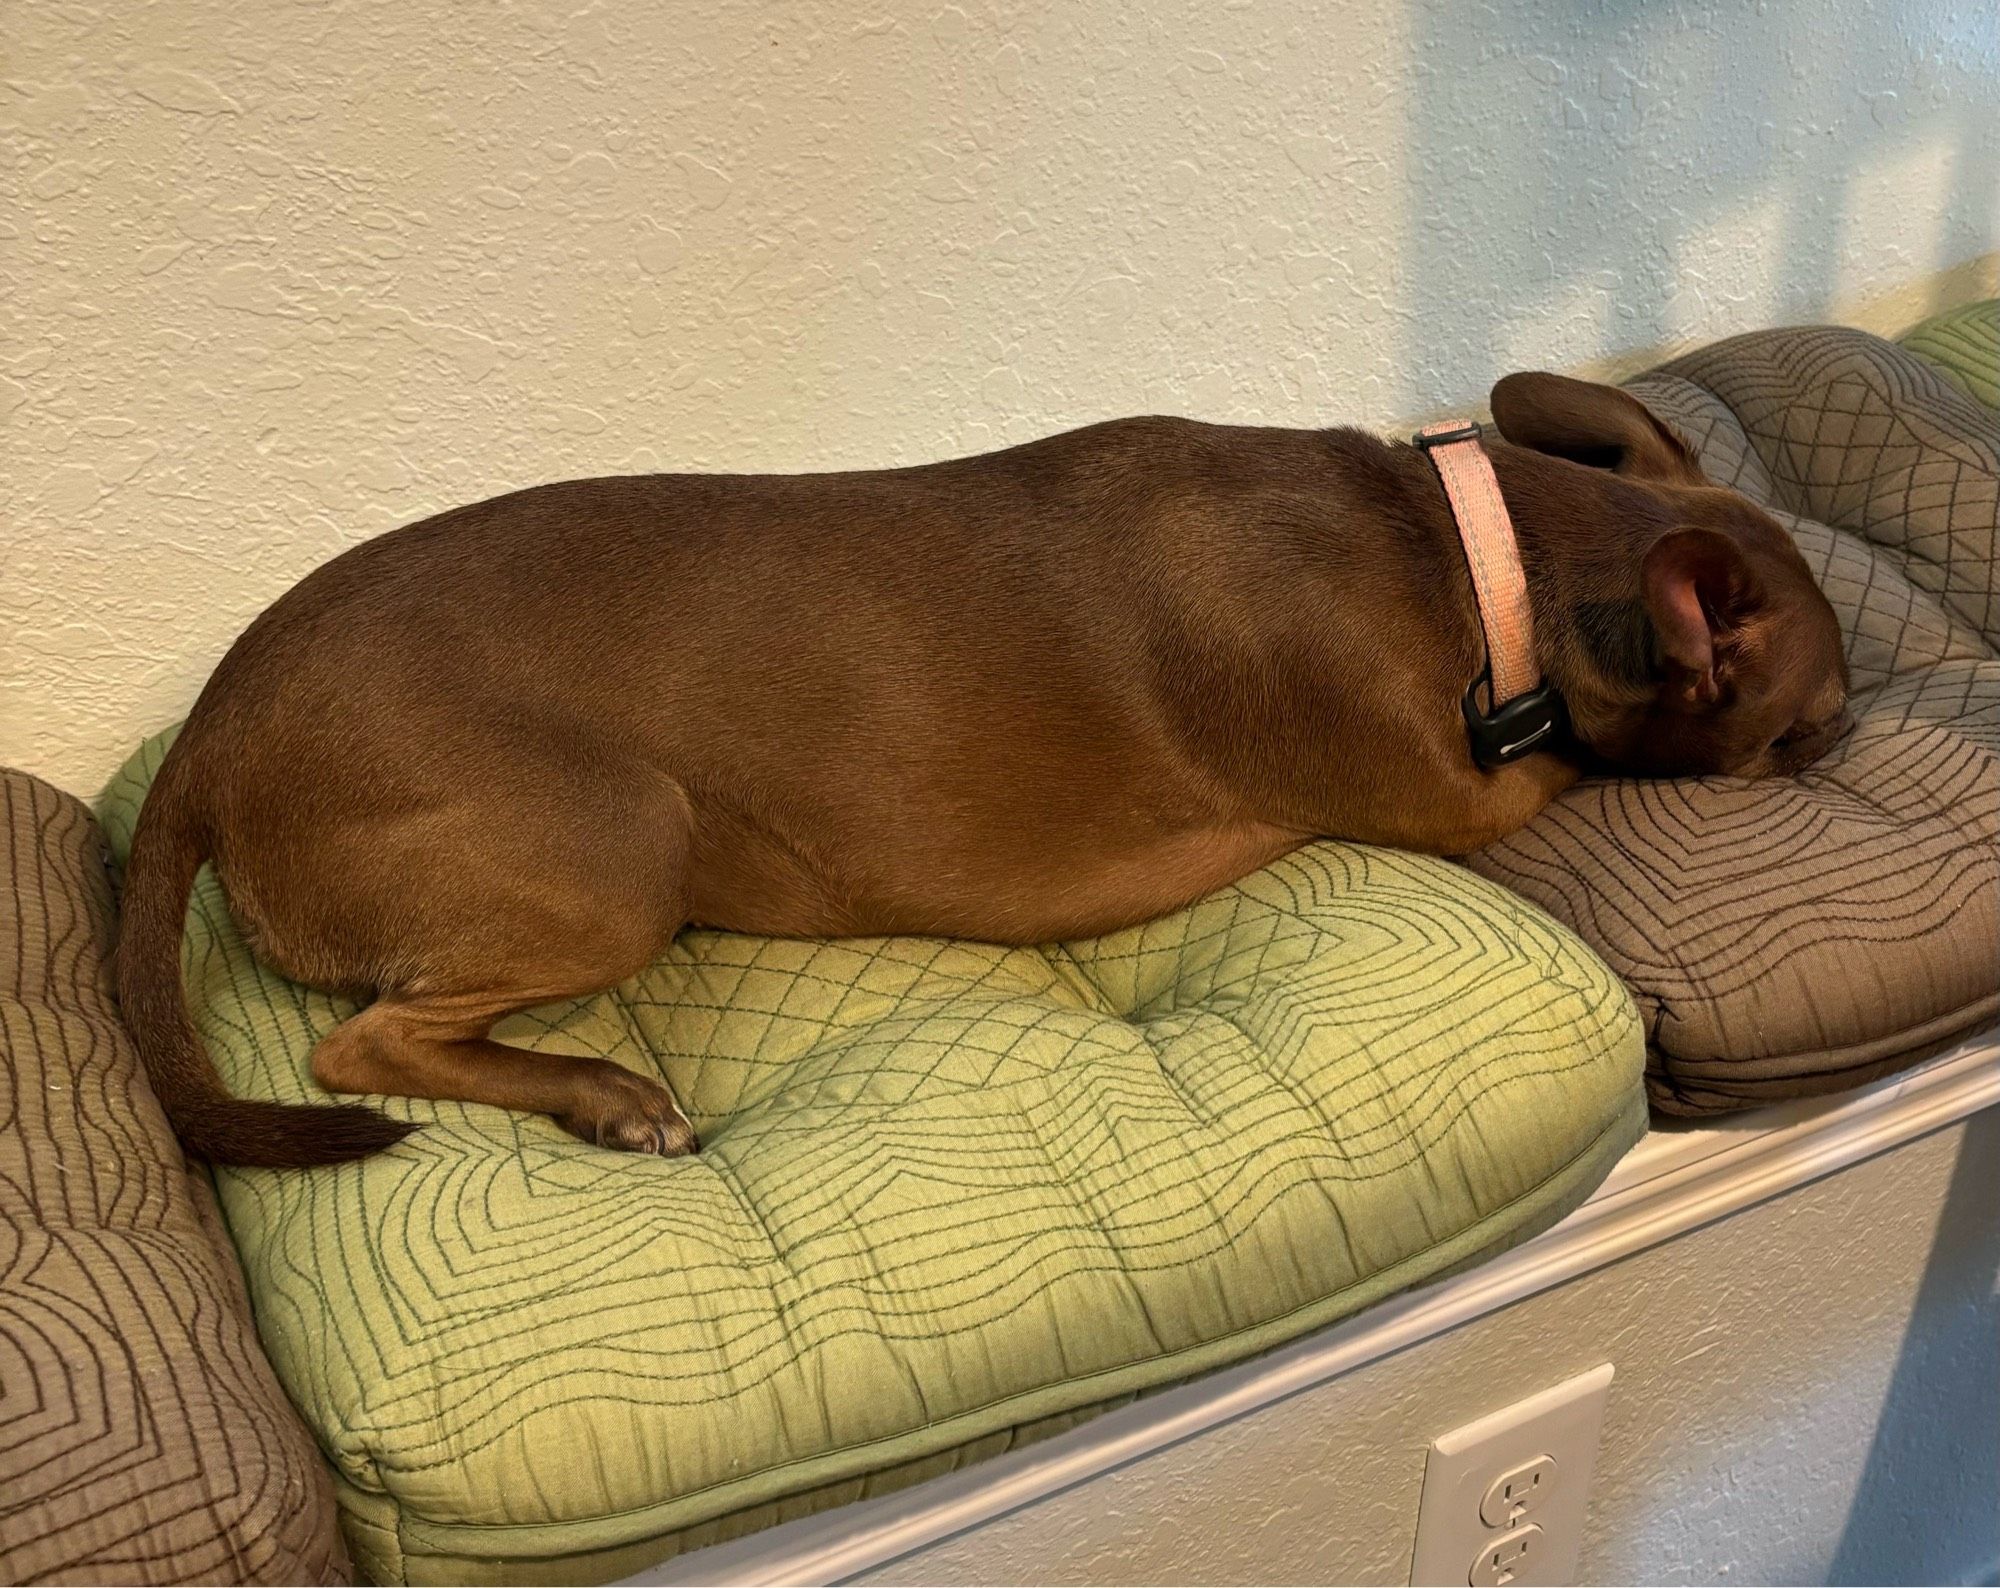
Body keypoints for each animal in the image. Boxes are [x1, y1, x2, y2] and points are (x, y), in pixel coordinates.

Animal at [117, 372, 1848, 1160]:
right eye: (1821, 723)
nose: (1859, 730)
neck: (1478, 552)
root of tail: (209, 733)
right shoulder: (1464, 788)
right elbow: (1565, 766)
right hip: (621, 851)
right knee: (363, 1045)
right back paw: (606, 1094)